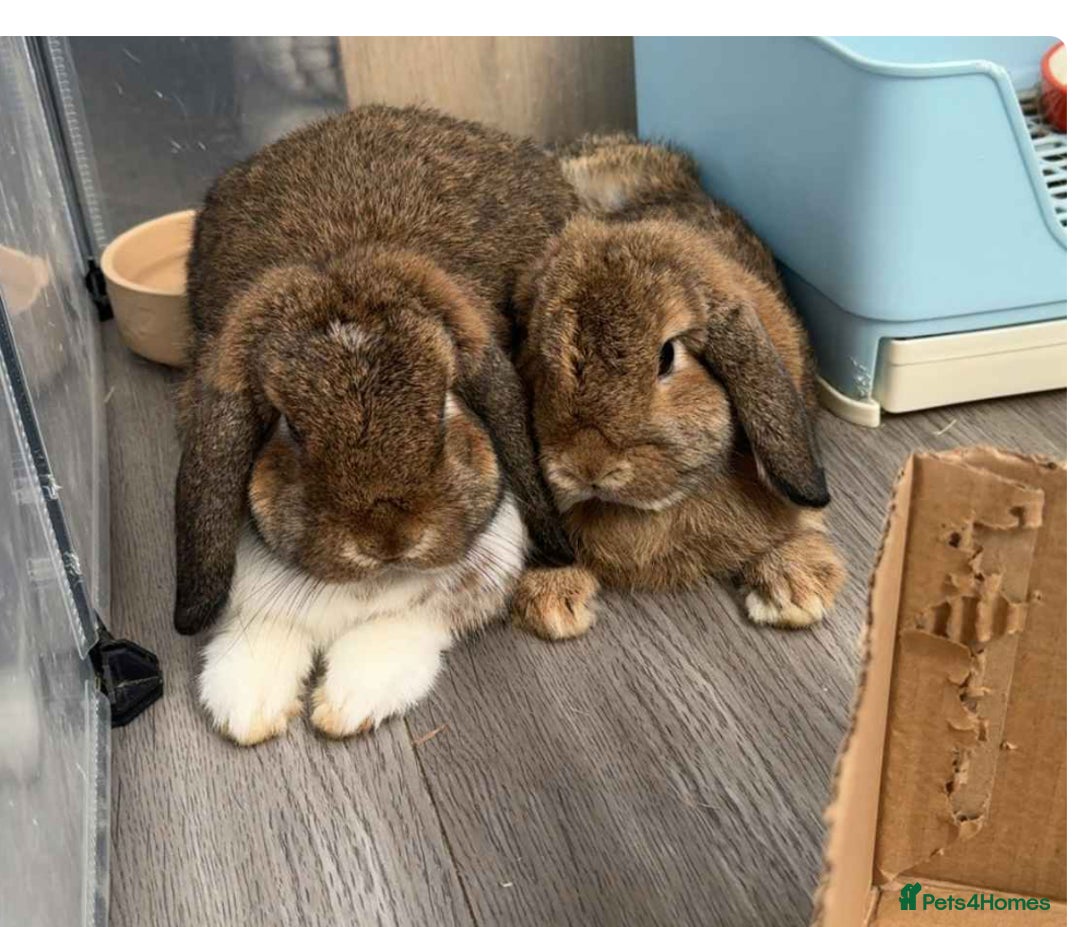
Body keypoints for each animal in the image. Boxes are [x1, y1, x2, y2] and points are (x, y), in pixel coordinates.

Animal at [174, 105, 578, 743]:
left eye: (444, 402)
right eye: (289, 426)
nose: (390, 538)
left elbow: (402, 631)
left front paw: (350, 700)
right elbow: (261, 636)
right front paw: (246, 708)